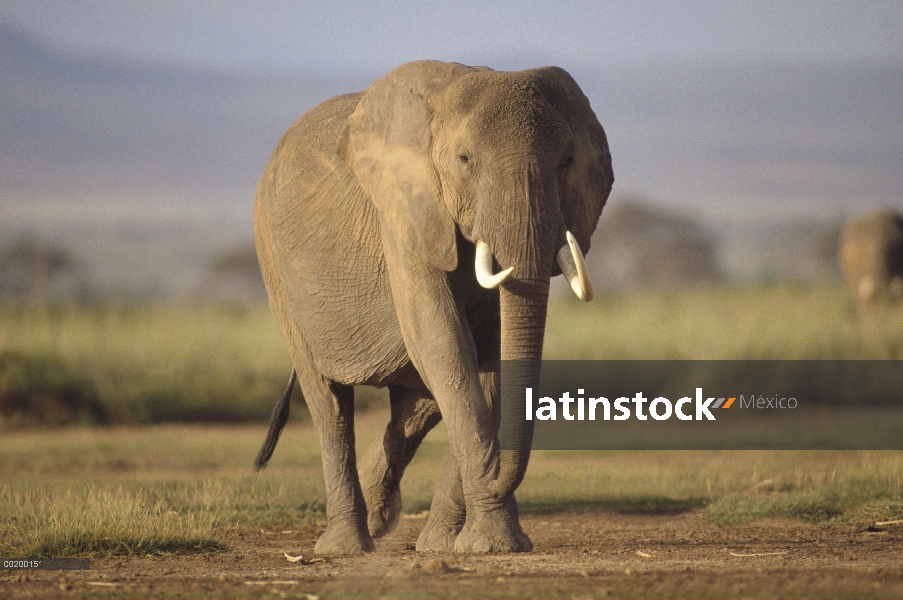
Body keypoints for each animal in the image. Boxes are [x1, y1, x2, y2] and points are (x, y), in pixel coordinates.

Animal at [251, 59, 616, 552]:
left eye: (569, 162)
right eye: (465, 161)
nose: (497, 474)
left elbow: (486, 360)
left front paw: (475, 545)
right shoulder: (403, 211)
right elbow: (444, 340)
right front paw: (492, 543)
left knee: (416, 405)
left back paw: (399, 528)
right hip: (274, 263)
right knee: (329, 403)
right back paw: (347, 546)